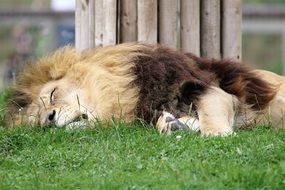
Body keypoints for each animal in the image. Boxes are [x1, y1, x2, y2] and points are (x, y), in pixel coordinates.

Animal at [5, 42, 284, 137]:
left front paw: (217, 135)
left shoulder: (210, 89)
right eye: (37, 123)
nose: (48, 119)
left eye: (53, 94)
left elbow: (211, 118)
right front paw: (174, 125)